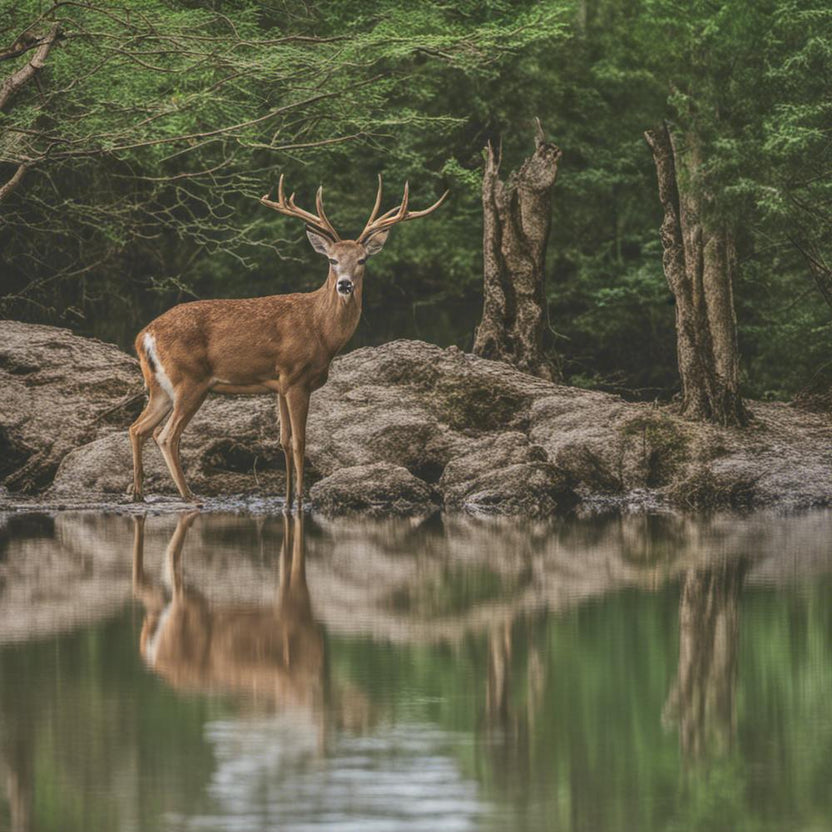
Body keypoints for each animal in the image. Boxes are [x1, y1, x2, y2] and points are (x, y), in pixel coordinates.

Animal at [129, 175, 448, 507]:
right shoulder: (296, 377)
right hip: (190, 380)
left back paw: (138, 492)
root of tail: (145, 335)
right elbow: (299, 441)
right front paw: (300, 498)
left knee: (137, 427)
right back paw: (189, 495)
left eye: (362, 260)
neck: (322, 331)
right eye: (332, 260)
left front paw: (286, 500)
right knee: (166, 435)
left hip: (161, 386)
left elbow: (282, 440)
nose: (345, 285)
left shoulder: (278, 382)